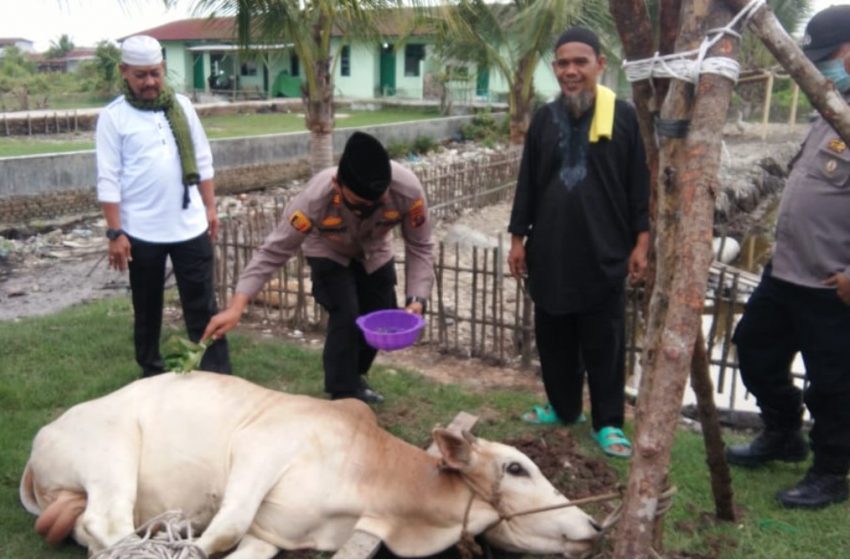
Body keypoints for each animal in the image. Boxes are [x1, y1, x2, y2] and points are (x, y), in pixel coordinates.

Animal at [21, 370, 604, 556]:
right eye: (517, 468)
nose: (596, 524)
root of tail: (39, 440)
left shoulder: (270, 536)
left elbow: (236, 542)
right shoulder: (261, 447)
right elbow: (222, 530)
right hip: (110, 450)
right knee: (107, 521)